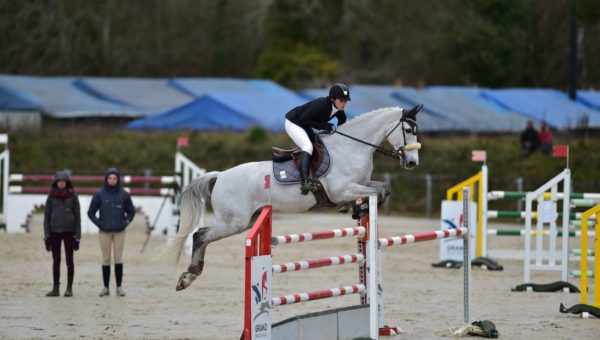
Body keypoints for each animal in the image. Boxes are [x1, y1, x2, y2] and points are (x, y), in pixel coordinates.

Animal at [165, 104, 422, 290]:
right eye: (409, 130)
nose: (412, 163)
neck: (351, 148)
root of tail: (221, 175)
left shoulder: (361, 183)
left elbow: (384, 188)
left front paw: (356, 210)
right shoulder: (343, 189)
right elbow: (376, 192)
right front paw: (355, 209)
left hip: (247, 220)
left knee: (202, 235)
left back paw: (190, 275)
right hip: (233, 222)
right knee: (200, 235)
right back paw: (188, 276)